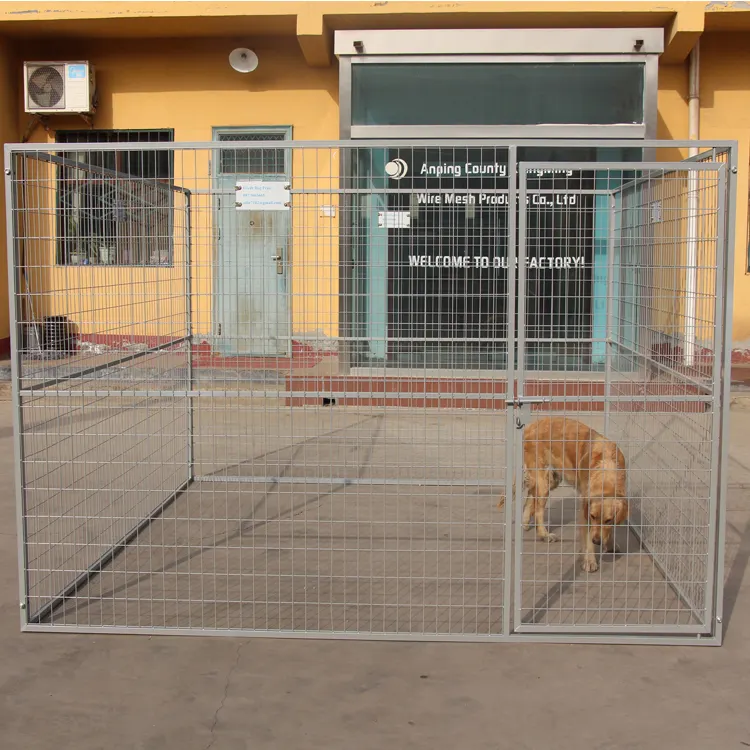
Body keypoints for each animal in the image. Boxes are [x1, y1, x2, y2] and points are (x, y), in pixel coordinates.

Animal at [502, 418, 632, 576]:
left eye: (608, 520)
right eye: (593, 516)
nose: (597, 541)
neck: (607, 470)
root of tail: (530, 425)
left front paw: (610, 543)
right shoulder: (585, 512)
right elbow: (587, 538)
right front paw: (590, 561)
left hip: (551, 478)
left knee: (530, 497)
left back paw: (525, 522)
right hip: (543, 480)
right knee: (538, 511)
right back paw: (544, 534)